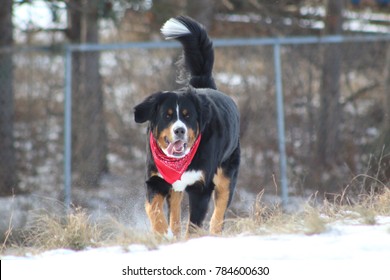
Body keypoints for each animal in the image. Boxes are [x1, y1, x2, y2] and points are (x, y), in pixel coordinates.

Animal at [134, 16, 239, 237]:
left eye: (187, 115)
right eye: (167, 115)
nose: (179, 130)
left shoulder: (201, 187)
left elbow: (194, 224)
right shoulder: (155, 180)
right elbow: (154, 210)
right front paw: (162, 234)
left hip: (227, 173)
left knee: (220, 210)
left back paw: (215, 232)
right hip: (176, 187)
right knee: (174, 212)